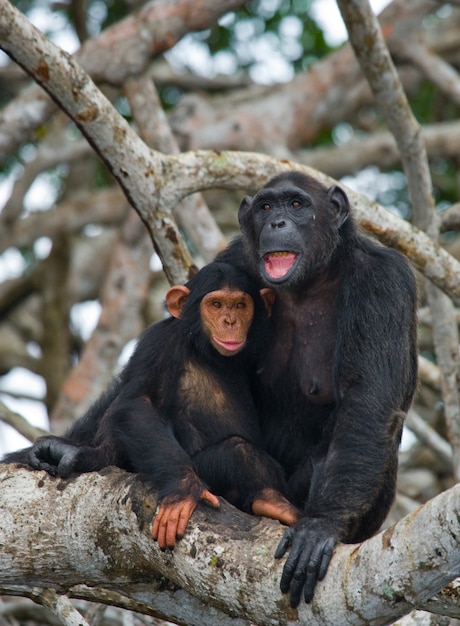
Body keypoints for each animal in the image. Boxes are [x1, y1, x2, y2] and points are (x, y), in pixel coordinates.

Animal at [3, 262, 300, 544]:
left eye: (240, 305)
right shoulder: (158, 342)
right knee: (235, 451)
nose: (230, 321)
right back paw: (270, 499)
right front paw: (183, 489)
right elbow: (137, 403)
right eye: (216, 305)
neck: (208, 353)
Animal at [216, 171, 416, 604]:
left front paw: (321, 525)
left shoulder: (384, 284)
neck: (310, 281)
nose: (277, 223)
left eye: (296, 205)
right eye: (266, 207)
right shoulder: (230, 261)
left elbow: (368, 400)